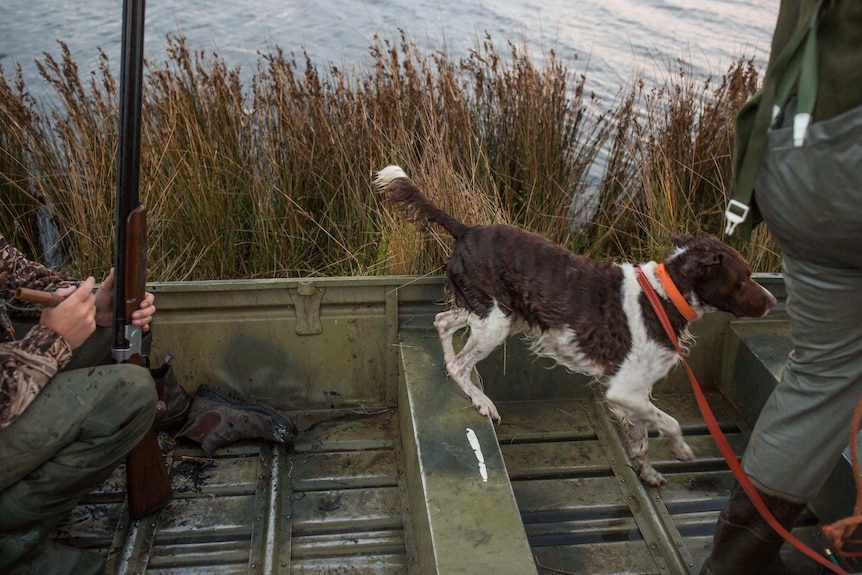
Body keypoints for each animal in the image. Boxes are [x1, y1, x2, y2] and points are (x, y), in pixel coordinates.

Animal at [374, 166, 780, 486]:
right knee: (460, 363)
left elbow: (641, 438)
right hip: (495, 323)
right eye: (744, 278)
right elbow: (669, 422)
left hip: (496, 311)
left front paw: (648, 474)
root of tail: (467, 229)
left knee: (443, 324)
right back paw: (482, 401)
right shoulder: (624, 390)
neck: (664, 297)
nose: (774, 301)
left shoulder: (634, 392)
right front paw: (680, 449)